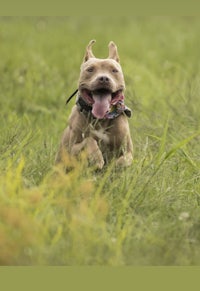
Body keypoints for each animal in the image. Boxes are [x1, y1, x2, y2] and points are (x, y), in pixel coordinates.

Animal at [55, 40, 133, 170]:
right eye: (90, 70)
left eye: (114, 70)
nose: (104, 78)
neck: (101, 118)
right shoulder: (72, 150)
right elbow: (89, 140)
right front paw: (97, 158)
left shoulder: (128, 150)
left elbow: (124, 159)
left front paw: (115, 166)